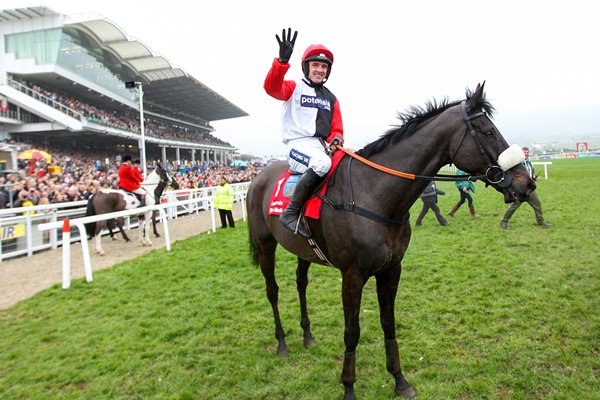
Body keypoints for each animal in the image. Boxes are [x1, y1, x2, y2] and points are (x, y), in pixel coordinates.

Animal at [246, 83, 536, 398]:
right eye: (489, 132)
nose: (527, 183)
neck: (373, 195)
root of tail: (258, 177)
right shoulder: (352, 275)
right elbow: (352, 332)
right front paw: (349, 386)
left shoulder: (391, 269)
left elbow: (388, 323)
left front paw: (399, 379)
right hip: (265, 246)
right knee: (272, 290)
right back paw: (282, 343)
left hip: (304, 251)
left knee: (301, 284)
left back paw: (308, 335)